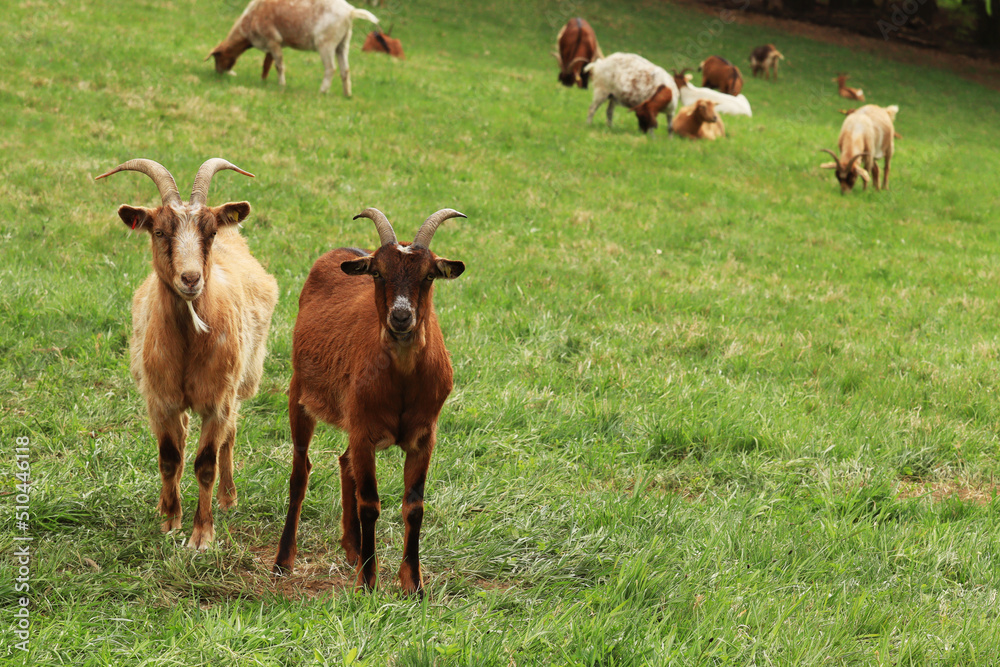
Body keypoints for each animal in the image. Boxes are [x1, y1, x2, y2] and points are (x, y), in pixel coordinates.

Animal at [96, 158, 279, 550]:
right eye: (159, 232)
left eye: (209, 233)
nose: (191, 278)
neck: (188, 343)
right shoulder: (160, 400)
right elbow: (170, 458)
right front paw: (169, 519)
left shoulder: (217, 401)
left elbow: (206, 463)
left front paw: (202, 535)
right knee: (181, 442)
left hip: (242, 382)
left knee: (230, 435)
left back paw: (228, 498)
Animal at [207, 0, 380, 96]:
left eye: (217, 56)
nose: (218, 73)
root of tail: (350, 12)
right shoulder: (272, 43)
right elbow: (266, 64)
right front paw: (263, 81)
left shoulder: (272, 39)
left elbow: (279, 65)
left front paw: (281, 85)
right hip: (343, 43)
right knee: (345, 70)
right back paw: (347, 94)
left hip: (326, 42)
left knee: (331, 68)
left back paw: (322, 91)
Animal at [274, 208, 466, 596]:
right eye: (378, 272)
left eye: (429, 276)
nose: (401, 316)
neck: (403, 381)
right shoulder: (363, 430)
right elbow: (370, 504)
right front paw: (367, 581)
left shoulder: (424, 436)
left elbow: (414, 507)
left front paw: (413, 585)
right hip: (300, 393)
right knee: (300, 473)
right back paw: (284, 561)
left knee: (344, 460)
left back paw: (352, 548)